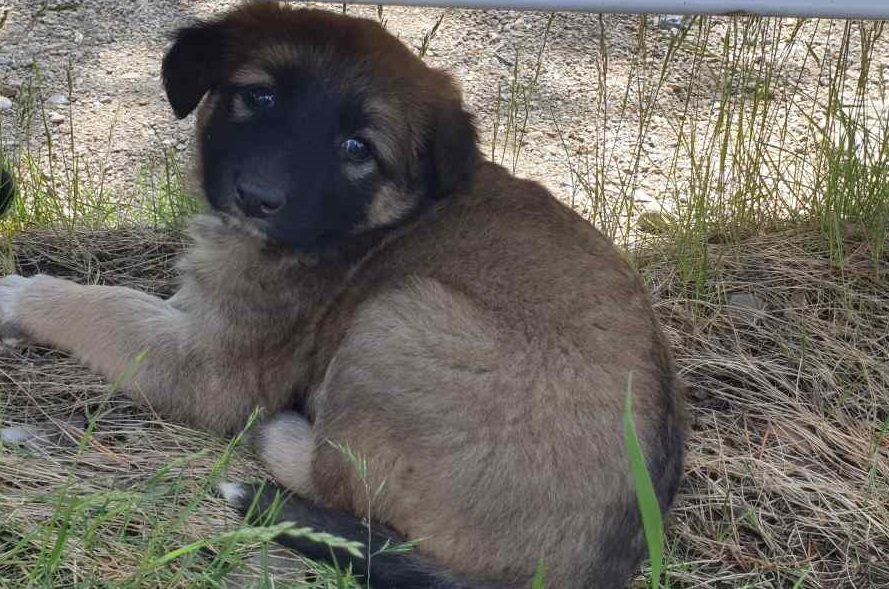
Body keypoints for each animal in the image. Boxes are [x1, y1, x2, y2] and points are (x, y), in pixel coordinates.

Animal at [0, 5, 688, 588]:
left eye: (358, 147)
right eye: (259, 97)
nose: (256, 198)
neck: (378, 220)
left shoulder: (212, 367)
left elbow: (102, 306)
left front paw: (19, 297)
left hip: (400, 316)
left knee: (331, 480)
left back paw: (281, 432)